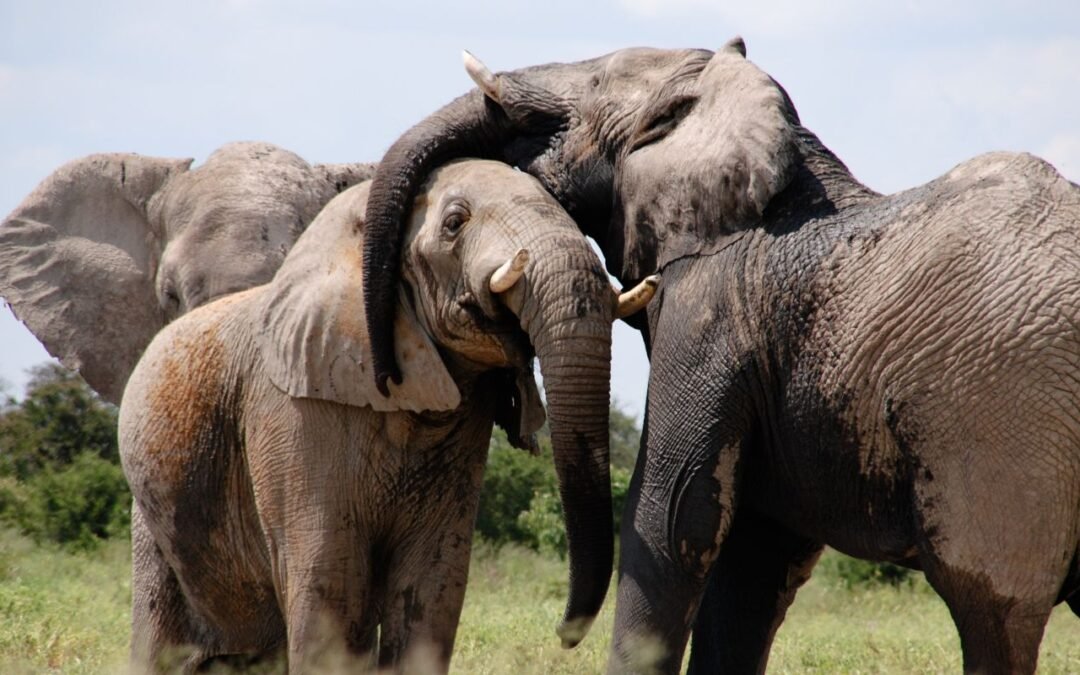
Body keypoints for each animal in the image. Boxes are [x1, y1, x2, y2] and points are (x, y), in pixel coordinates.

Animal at [119, 158, 656, 672]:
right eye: (455, 223)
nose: (563, 635)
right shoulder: (292, 414)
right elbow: (328, 584)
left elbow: (433, 586)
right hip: (152, 518)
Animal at [358, 38, 1080, 673]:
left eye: (594, 83)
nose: (387, 373)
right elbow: (752, 563)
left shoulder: (710, 308)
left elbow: (672, 515)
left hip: (999, 419)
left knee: (991, 610)